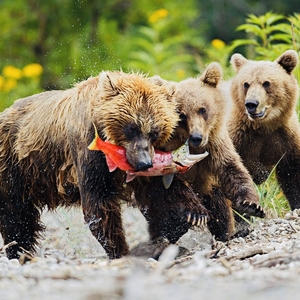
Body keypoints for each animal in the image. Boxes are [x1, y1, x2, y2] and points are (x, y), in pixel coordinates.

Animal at [0, 71, 188, 260]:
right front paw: (120, 250)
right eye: (132, 128)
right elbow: (99, 201)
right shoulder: (88, 149)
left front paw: (180, 221)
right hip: (16, 167)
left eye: (154, 132)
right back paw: (17, 251)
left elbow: (157, 192)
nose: (144, 163)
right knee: (16, 217)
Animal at [136, 62, 264, 243]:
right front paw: (196, 213)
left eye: (202, 109)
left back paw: (229, 233)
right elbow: (168, 184)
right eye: (182, 115)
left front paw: (252, 205)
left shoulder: (216, 144)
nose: (196, 137)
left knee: (219, 205)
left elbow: (232, 169)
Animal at [227, 50, 300, 211]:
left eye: (266, 83)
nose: (251, 104)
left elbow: (292, 175)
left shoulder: (286, 138)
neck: (263, 126)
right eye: (246, 84)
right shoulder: (237, 137)